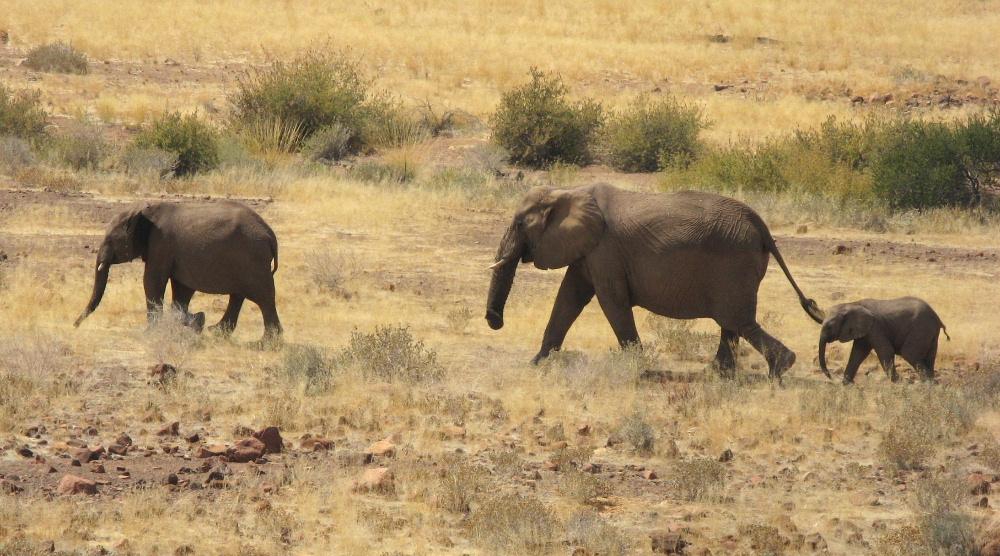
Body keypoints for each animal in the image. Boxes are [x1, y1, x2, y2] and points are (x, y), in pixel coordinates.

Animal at [74, 198, 282, 340]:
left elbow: (152, 281)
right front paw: (191, 323)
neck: (145, 212)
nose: (74, 325)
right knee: (239, 295)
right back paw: (216, 332)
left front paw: (149, 333)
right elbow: (182, 288)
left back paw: (266, 343)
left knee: (264, 298)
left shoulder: (161, 244)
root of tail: (270, 235)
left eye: (110, 239)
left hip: (254, 259)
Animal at [482, 182, 820, 378]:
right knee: (732, 323)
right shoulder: (589, 251)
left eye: (520, 223)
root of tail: (760, 223)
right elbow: (569, 298)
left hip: (735, 264)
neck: (567, 191)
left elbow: (611, 301)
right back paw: (719, 374)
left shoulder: (605, 249)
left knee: (738, 320)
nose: (495, 321)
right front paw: (536, 364)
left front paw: (636, 369)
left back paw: (780, 367)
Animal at [816, 298, 948, 384]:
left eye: (829, 327)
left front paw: (898, 382)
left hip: (920, 329)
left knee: (909, 353)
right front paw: (846, 383)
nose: (830, 377)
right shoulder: (865, 330)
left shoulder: (876, 327)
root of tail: (937, 318)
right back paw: (931, 383)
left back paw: (926, 383)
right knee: (930, 357)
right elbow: (858, 353)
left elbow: (885, 351)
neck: (853, 304)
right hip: (930, 333)